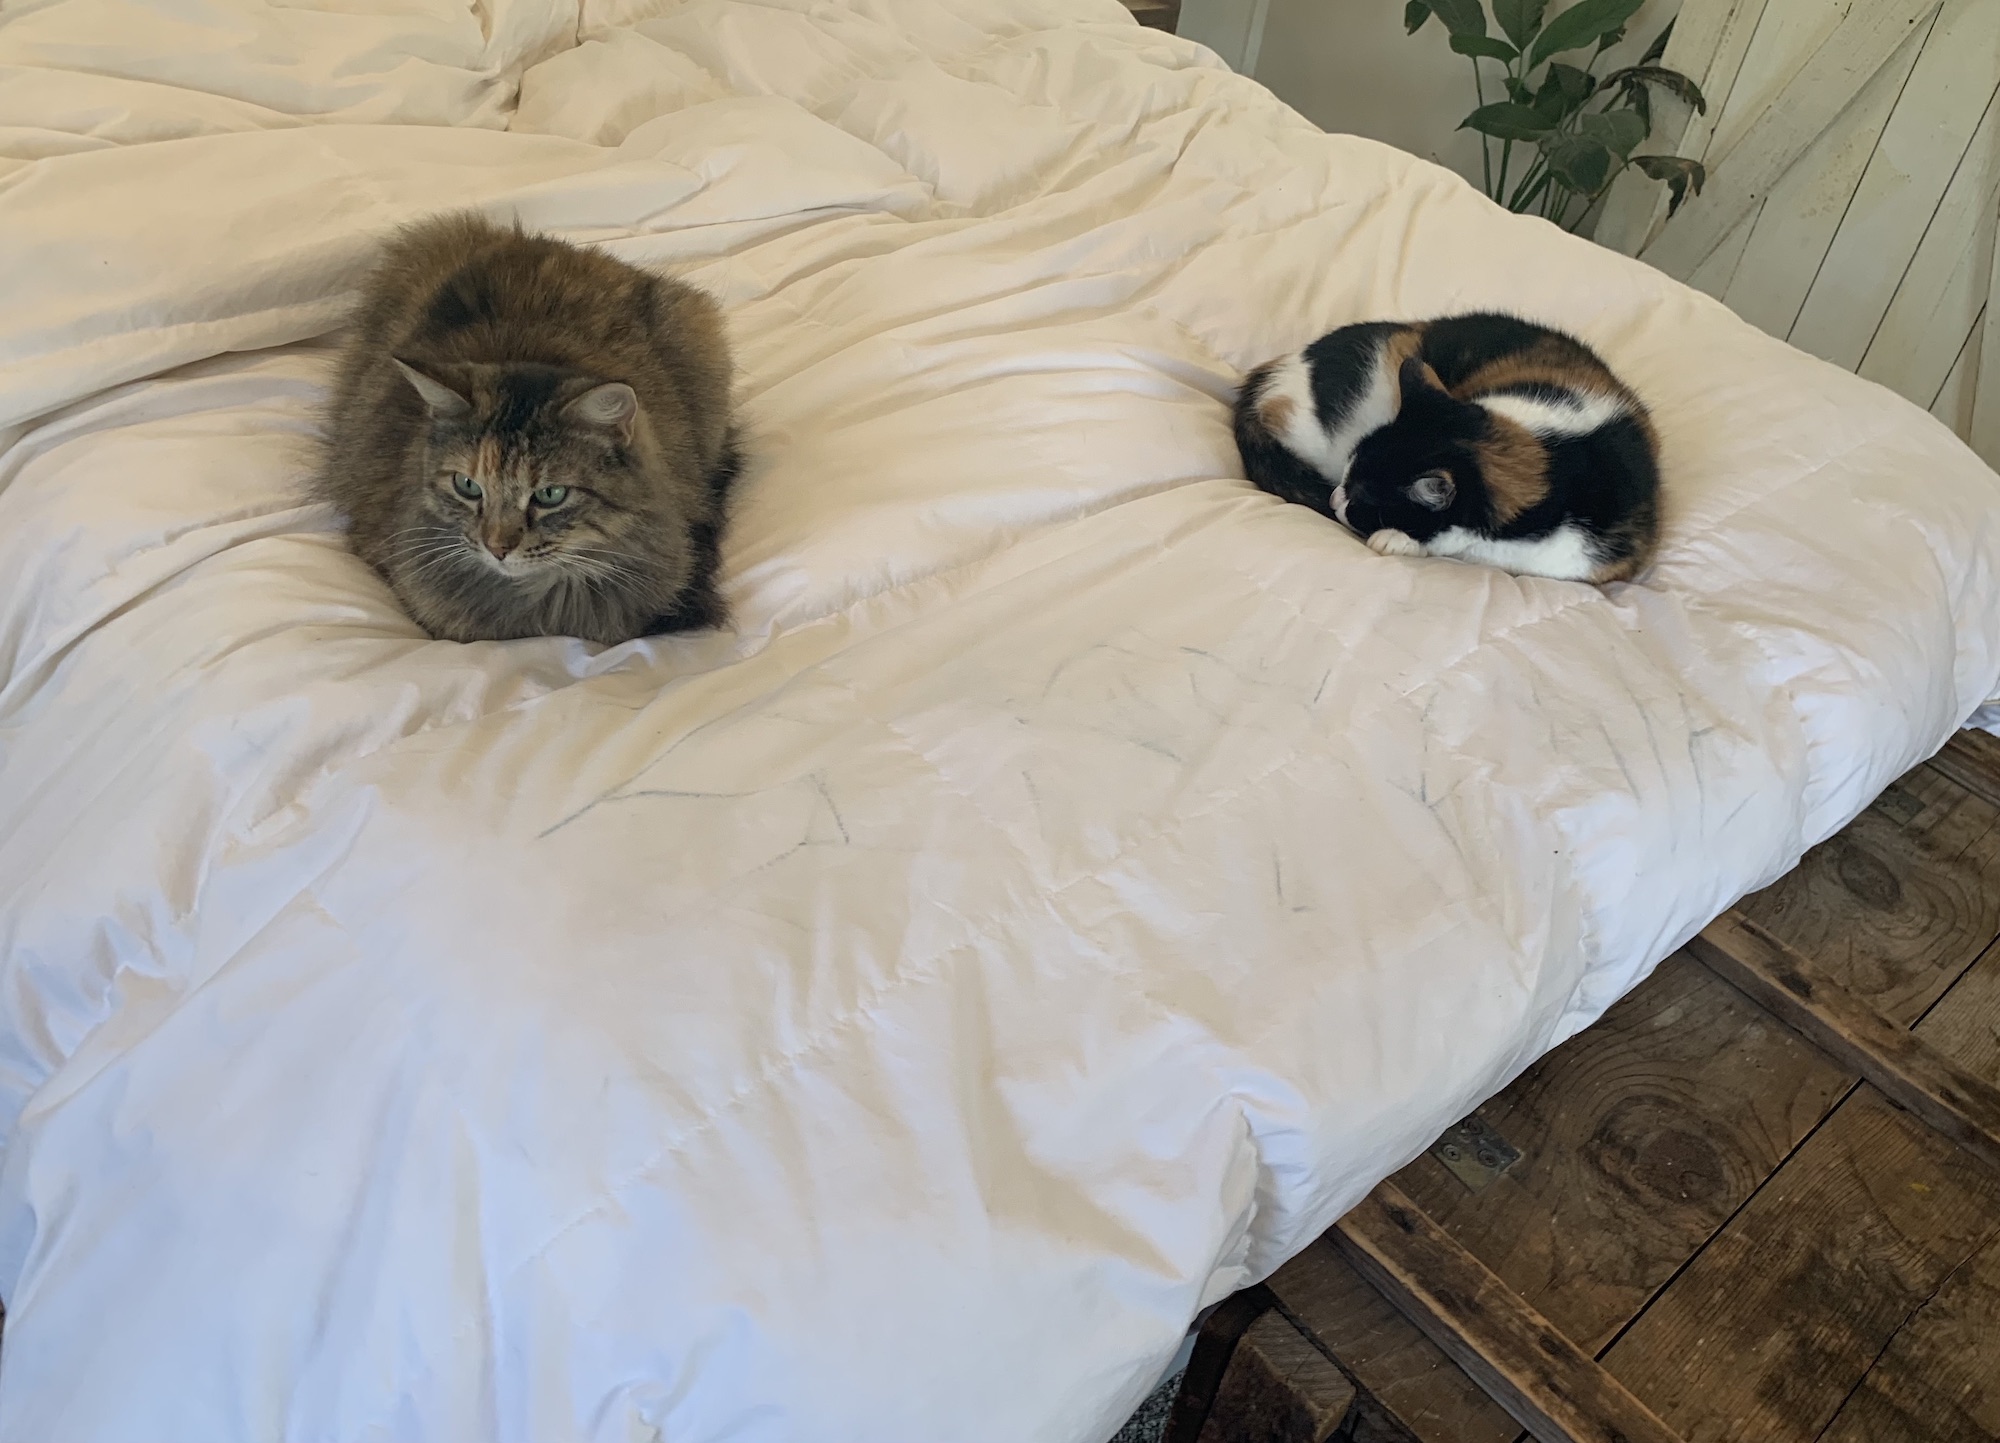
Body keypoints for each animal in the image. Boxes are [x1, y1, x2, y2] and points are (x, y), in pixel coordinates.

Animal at [1234, 312, 1659, 584]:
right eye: (1347, 481)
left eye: (1362, 501)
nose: (1335, 497)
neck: (1561, 457)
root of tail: (1270, 373)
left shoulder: (1587, 561)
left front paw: (1398, 538)